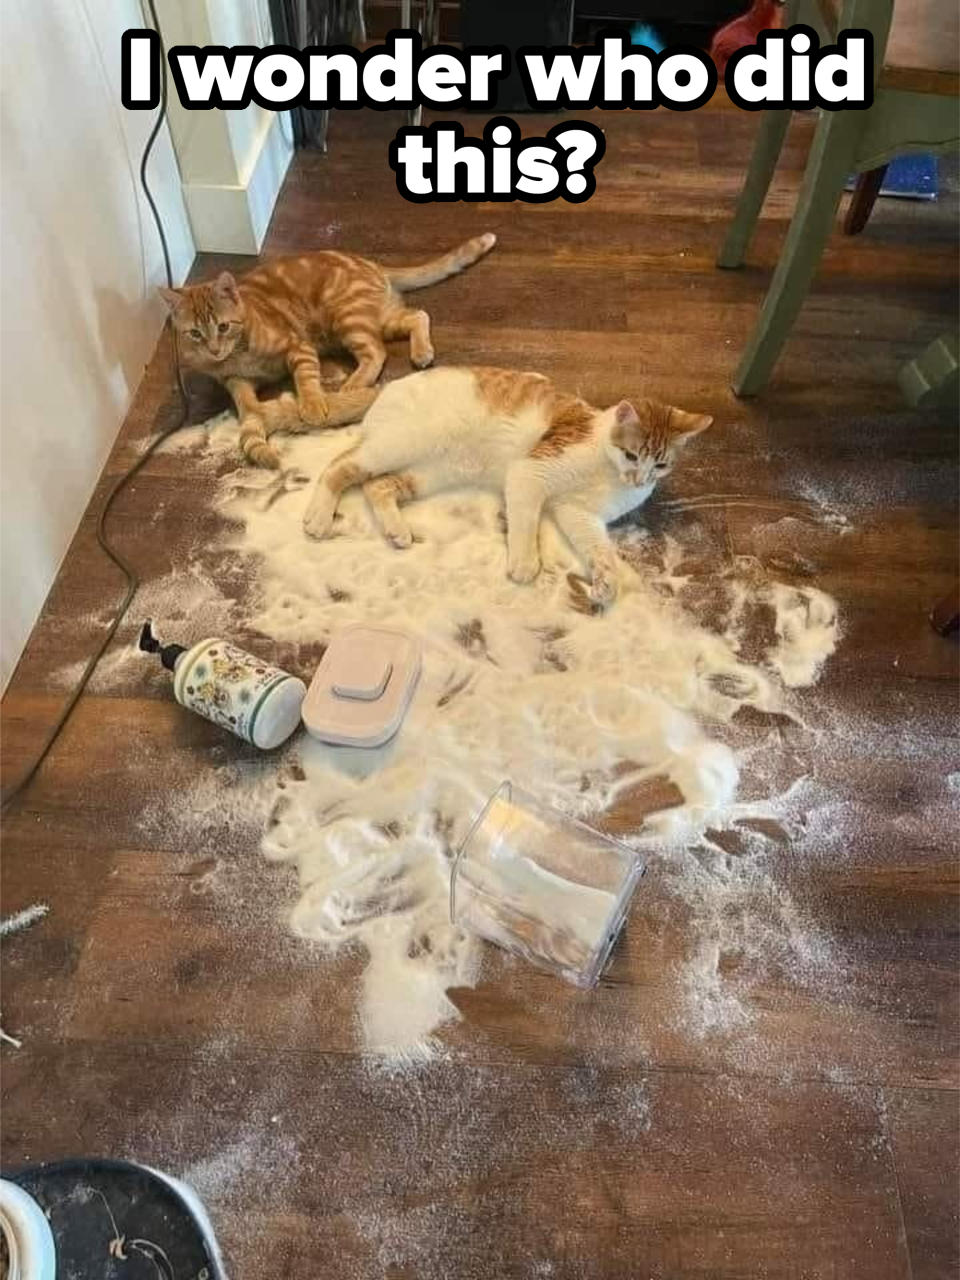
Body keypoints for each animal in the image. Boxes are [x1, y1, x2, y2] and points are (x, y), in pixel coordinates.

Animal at [161, 232, 496, 468]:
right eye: (195, 334)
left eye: (223, 327)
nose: (214, 349)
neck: (239, 354)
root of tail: (372, 264)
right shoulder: (236, 380)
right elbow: (245, 401)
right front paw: (254, 415)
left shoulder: (298, 347)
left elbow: (306, 379)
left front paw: (312, 405)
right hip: (378, 319)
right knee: (418, 316)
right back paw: (421, 350)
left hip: (345, 318)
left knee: (376, 351)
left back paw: (353, 385)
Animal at [304, 366, 711, 604]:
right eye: (630, 455)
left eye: (660, 464)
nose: (638, 479)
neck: (608, 472)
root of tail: (390, 385)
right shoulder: (530, 473)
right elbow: (527, 521)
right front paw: (526, 562)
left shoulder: (578, 513)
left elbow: (599, 549)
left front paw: (606, 582)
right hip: (401, 444)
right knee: (338, 466)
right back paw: (319, 518)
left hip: (434, 470)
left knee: (378, 487)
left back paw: (396, 531)